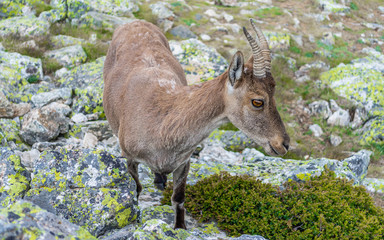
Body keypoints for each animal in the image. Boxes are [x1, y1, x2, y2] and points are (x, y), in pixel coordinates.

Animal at [103, 19, 290, 229]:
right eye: (257, 101)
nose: (284, 144)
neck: (162, 125)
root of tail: (134, 22)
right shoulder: (130, 157)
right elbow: (137, 188)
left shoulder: (184, 161)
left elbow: (178, 198)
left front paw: (180, 227)